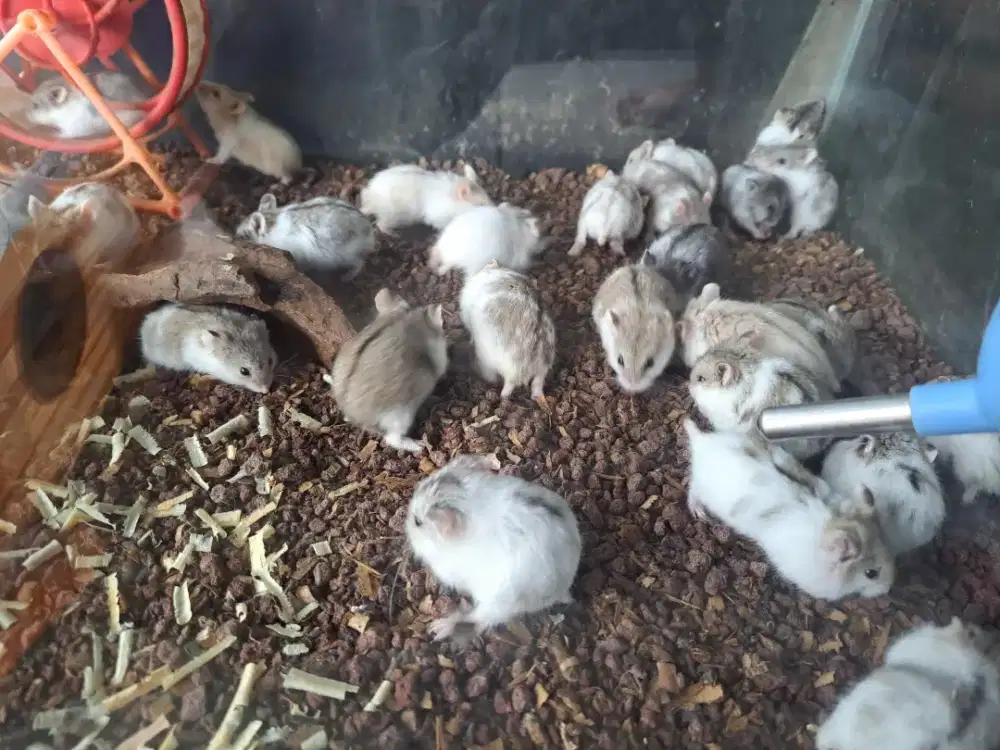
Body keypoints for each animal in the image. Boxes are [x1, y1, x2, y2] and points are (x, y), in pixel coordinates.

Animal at [235, 193, 375, 277]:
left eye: (243, 236)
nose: (235, 238)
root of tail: (369, 229)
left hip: (345, 256)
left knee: (360, 263)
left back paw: (345, 278)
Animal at [405, 453, 581, 640]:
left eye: (417, 521)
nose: (405, 526)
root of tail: (562, 589)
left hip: (497, 602)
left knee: (478, 619)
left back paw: (438, 628)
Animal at [683, 419, 895, 600]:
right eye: (871, 573)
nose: (888, 588)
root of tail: (701, 441)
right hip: (702, 487)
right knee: (692, 491)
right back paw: (699, 512)